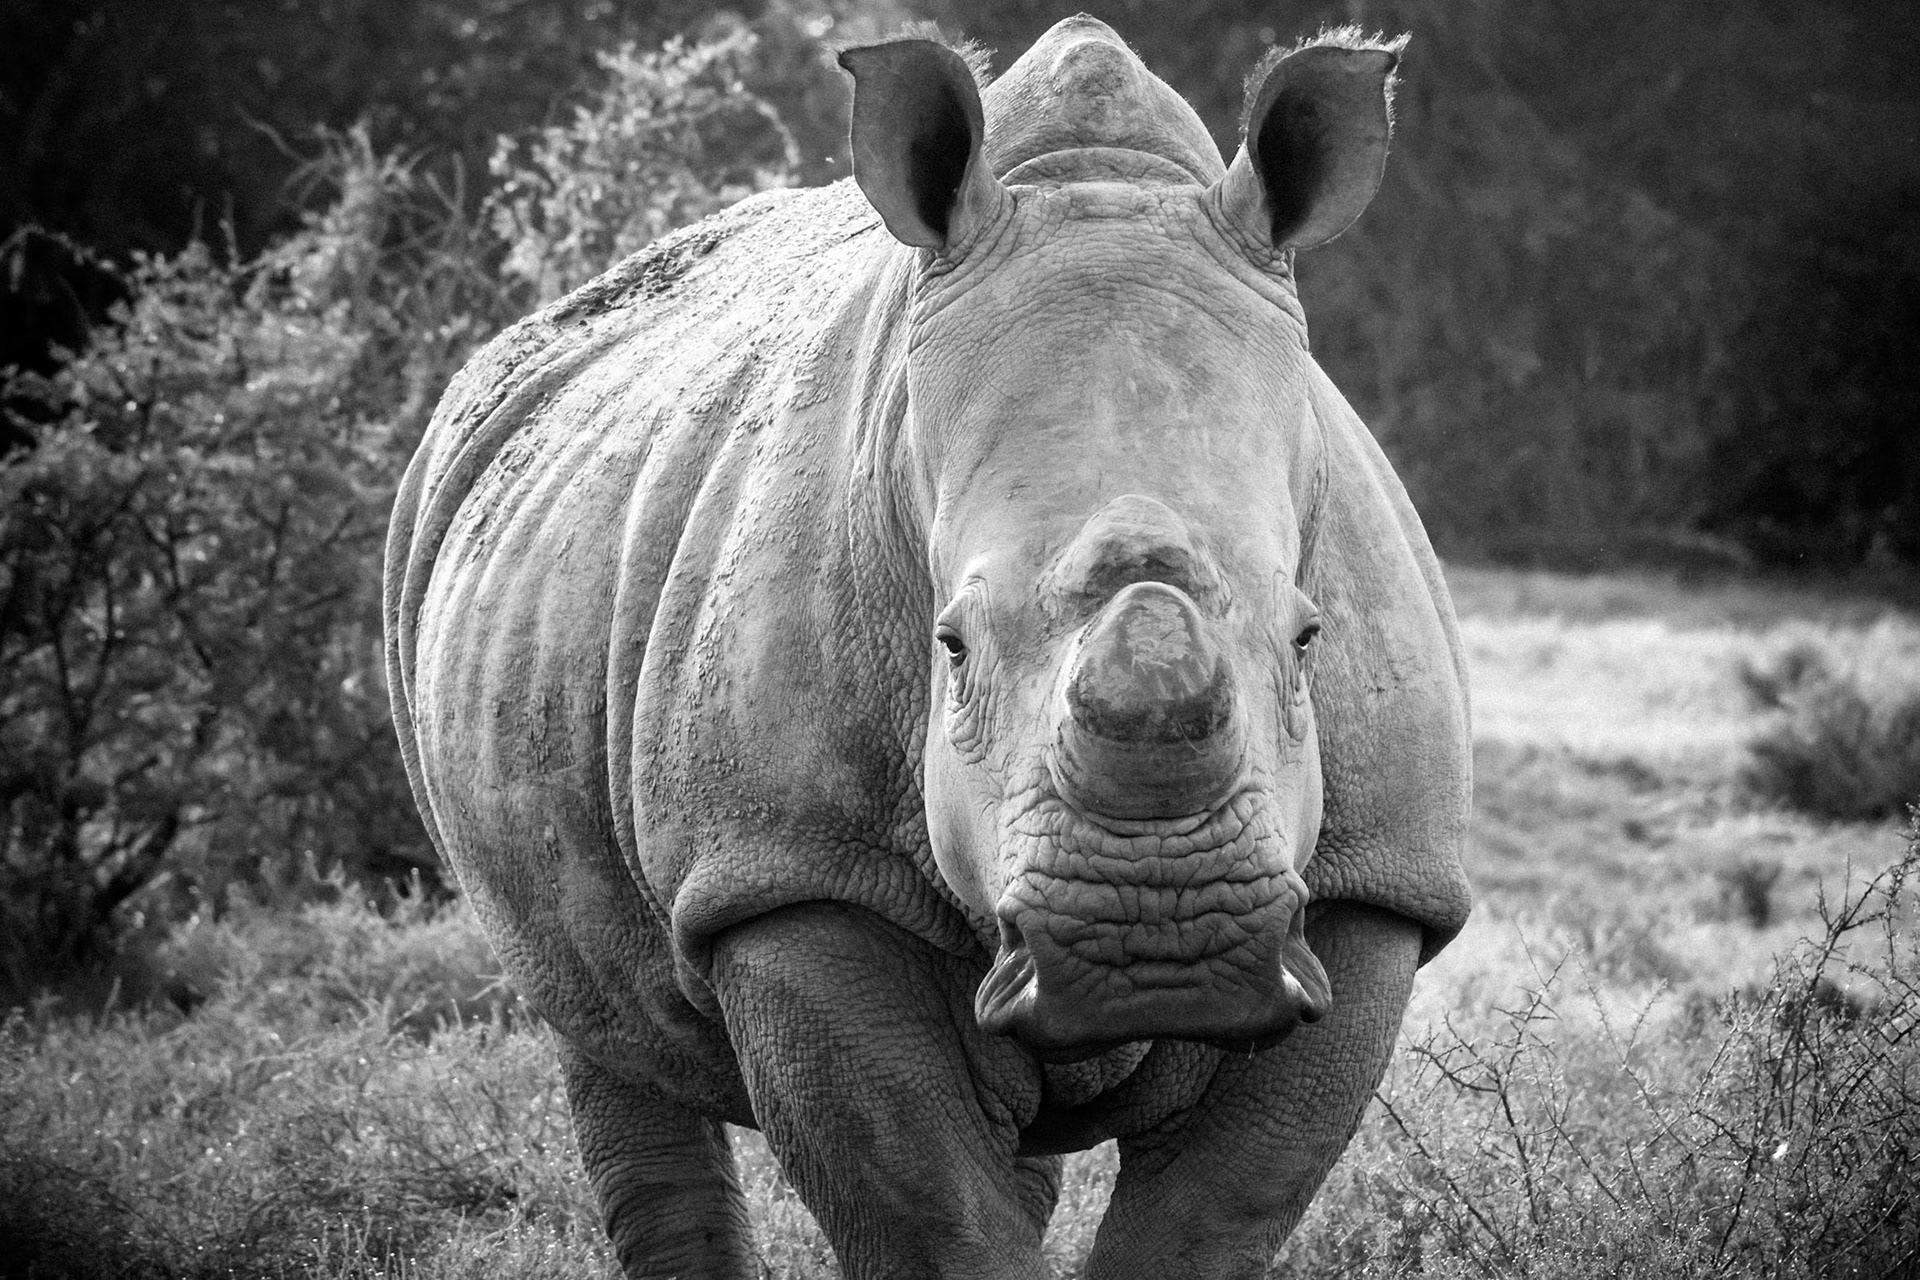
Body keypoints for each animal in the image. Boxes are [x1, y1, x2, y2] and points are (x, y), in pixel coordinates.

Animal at [386, 16, 1470, 1279]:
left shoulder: (1377, 882)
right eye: (948, 646)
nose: (1159, 939)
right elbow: (930, 1210)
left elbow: (1215, 1211)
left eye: (1309, 635)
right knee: (601, 1023)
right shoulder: (784, 869)